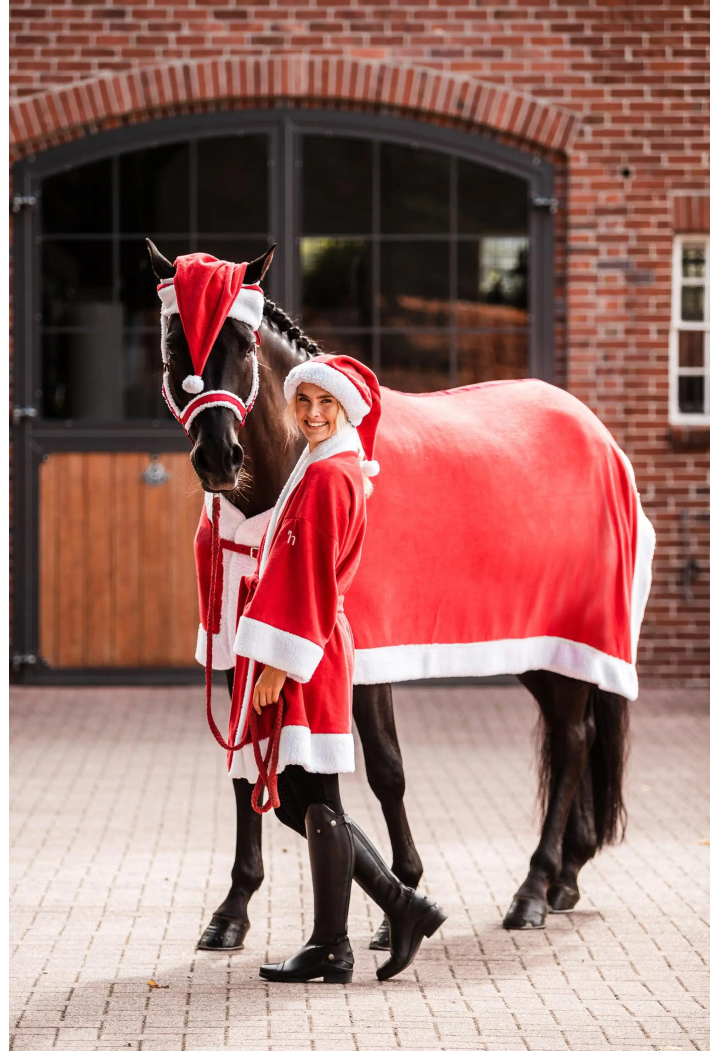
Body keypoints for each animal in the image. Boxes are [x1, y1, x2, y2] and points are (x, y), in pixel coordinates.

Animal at [147, 239, 634, 949]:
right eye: (173, 341)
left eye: (241, 341)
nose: (219, 457)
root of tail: (595, 430)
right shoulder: (241, 644)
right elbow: (247, 771)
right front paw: (233, 908)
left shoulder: (360, 654)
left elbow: (385, 769)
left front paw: (405, 892)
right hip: (538, 647)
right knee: (578, 732)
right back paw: (566, 876)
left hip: (573, 633)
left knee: (572, 739)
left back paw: (534, 888)